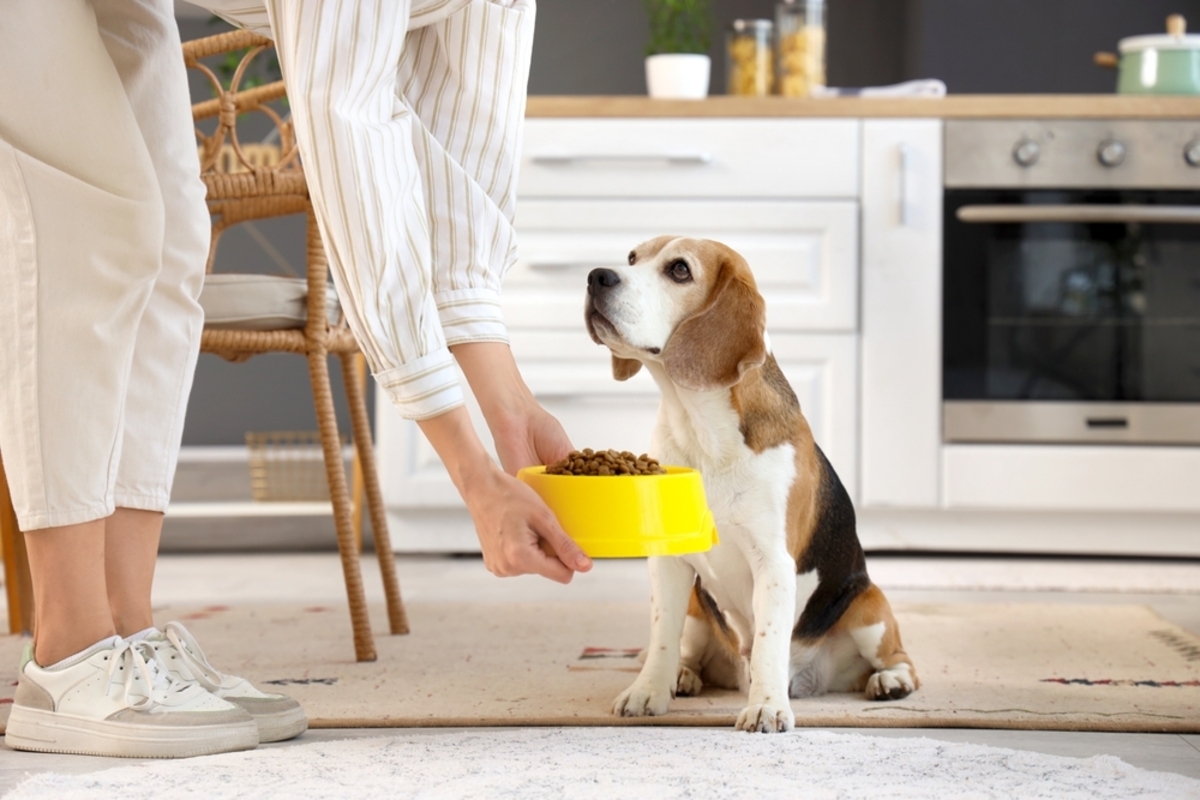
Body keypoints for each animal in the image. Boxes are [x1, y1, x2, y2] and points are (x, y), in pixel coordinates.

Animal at [585, 236, 912, 734]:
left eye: (679, 270)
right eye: (632, 259)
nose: (595, 277)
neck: (701, 429)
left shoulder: (773, 563)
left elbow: (769, 641)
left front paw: (768, 707)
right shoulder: (669, 561)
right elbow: (661, 635)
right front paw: (648, 692)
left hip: (868, 608)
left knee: (898, 658)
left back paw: (890, 681)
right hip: (698, 610)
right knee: (689, 649)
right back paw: (684, 676)